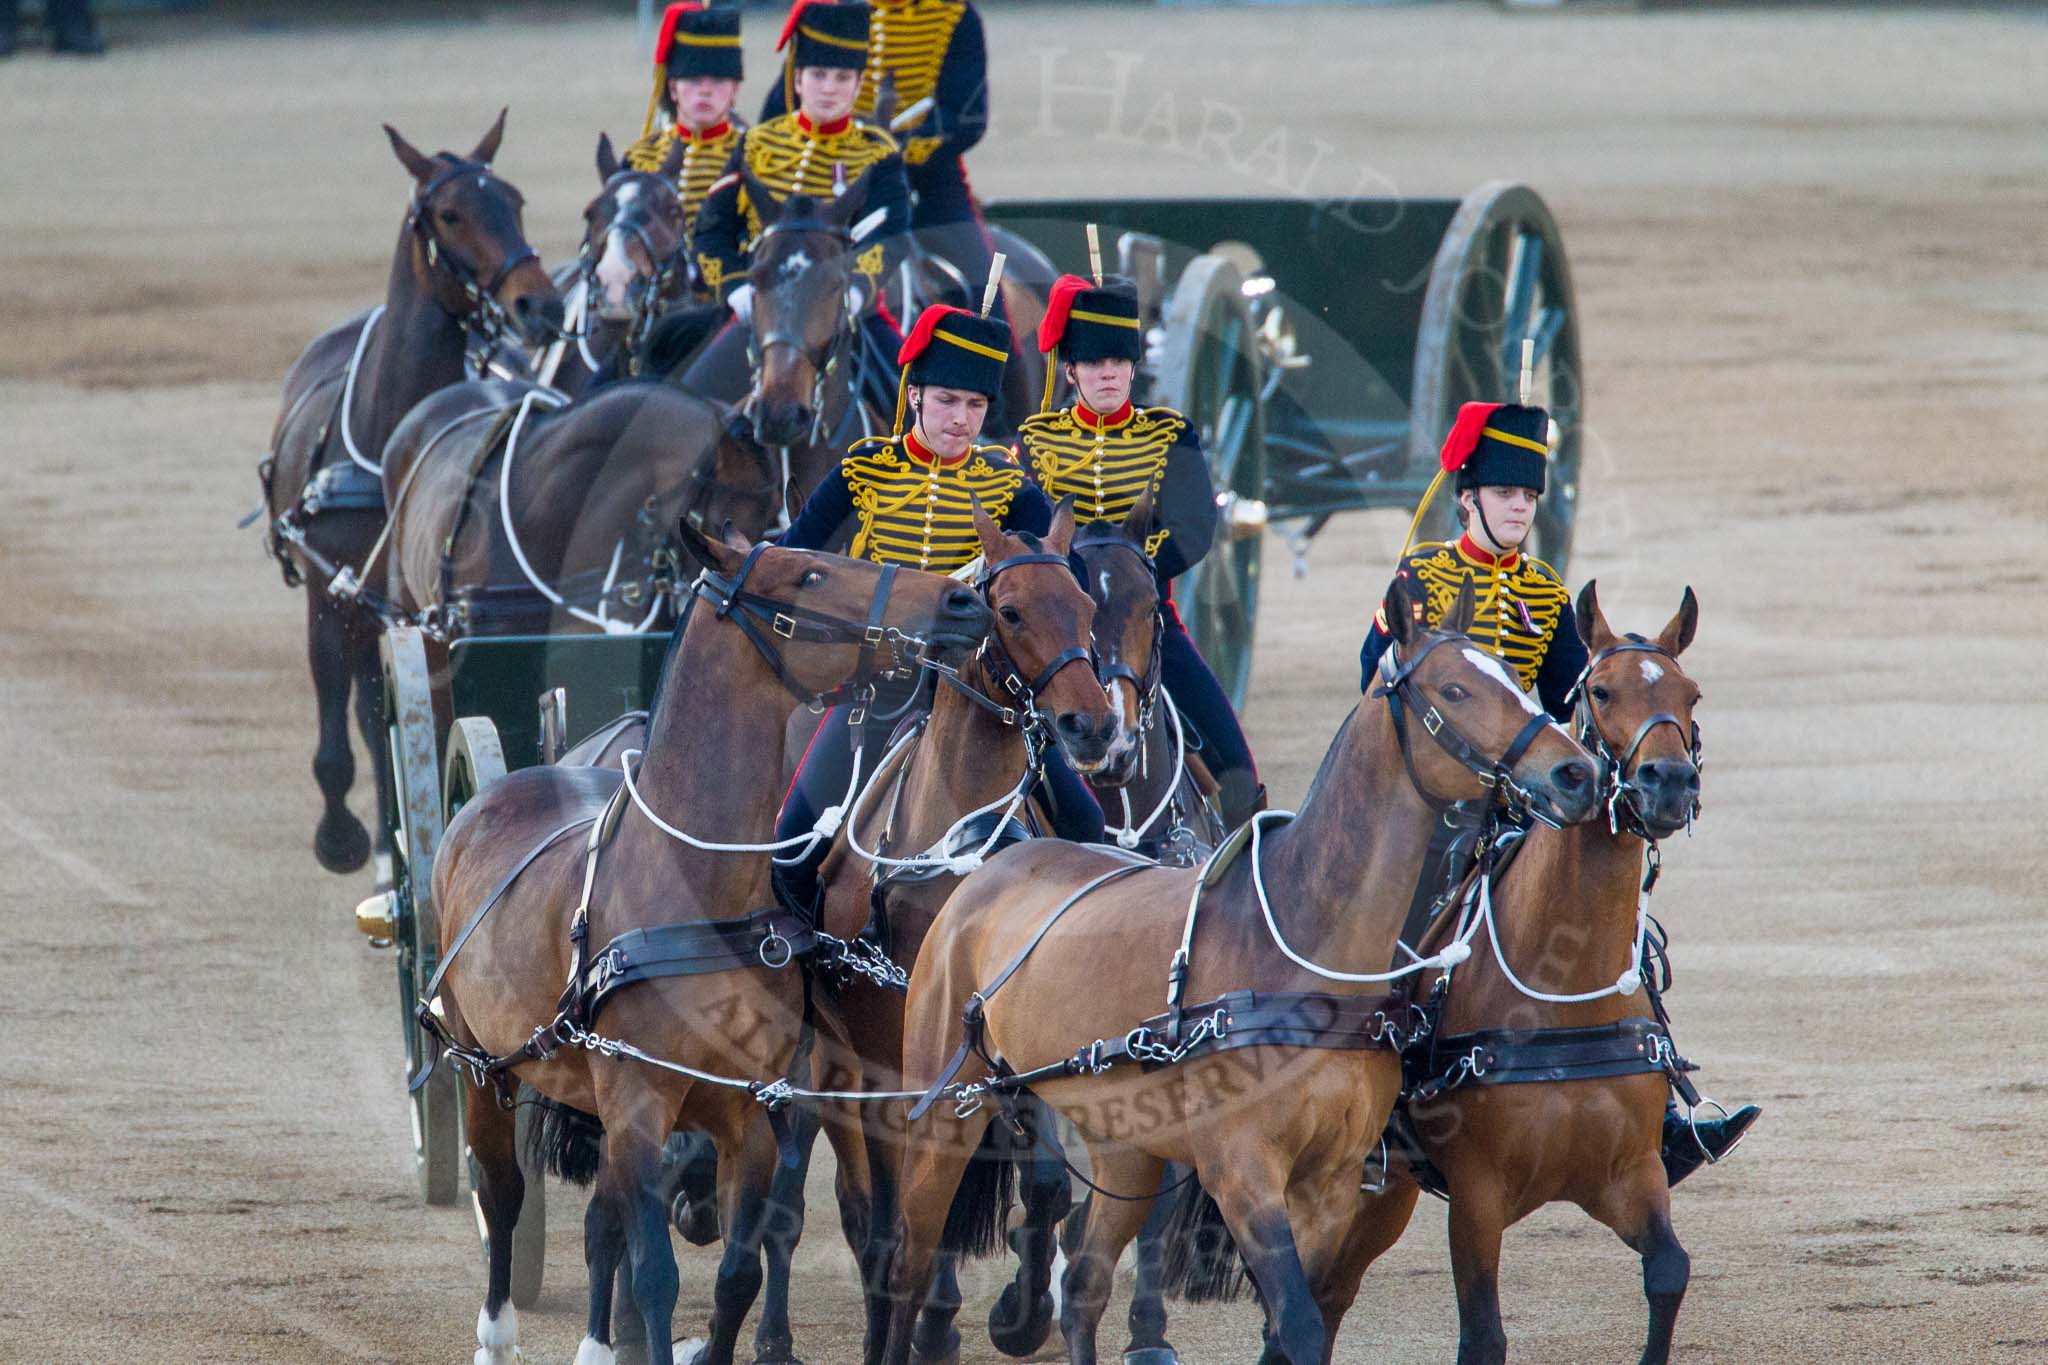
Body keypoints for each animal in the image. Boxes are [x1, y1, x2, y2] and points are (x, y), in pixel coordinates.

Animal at [268, 106, 569, 875]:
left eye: (516, 200)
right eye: (449, 212)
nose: (540, 304)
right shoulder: (333, 599)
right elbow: (343, 738)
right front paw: (342, 838)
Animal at [425, 527, 991, 1365]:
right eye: (810, 573)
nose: (961, 598)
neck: (696, 886)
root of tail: (494, 797)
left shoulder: (747, 1112)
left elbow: (737, 1272)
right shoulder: (638, 1103)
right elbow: (656, 1272)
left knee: (603, 1218)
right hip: (481, 1062)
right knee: (501, 1189)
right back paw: (497, 1332)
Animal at [880, 577, 1597, 1365]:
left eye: (1516, 679)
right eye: (1456, 688)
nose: (1577, 772)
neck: (1310, 951)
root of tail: (990, 865)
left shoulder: (1331, 1184)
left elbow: (1294, 1324)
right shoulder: (1244, 1173)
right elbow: (1300, 1322)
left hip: (1126, 1148)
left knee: (1085, 1286)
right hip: (940, 1121)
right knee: (908, 1264)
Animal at [1335, 581, 1703, 1365]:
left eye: (1690, 694)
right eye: (1600, 689)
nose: (1667, 783)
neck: (1563, 992)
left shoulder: (1633, 1174)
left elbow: (1669, 1272)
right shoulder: (1476, 1198)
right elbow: (1483, 1335)